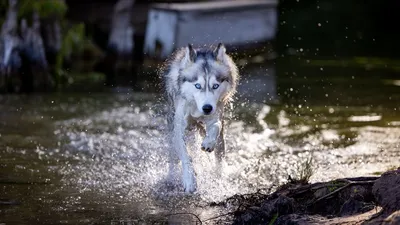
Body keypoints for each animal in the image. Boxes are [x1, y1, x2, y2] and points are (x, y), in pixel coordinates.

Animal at [161, 43, 239, 192]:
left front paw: (208, 142)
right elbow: (186, 156)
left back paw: (219, 175)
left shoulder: (216, 116)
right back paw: (171, 176)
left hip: (219, 140)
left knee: (219, 155)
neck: (197, 109)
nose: (207, 108)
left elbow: (216, 126)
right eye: (197, 85)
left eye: (215, 85)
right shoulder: (179, 129)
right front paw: (190, 180)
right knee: (173, 157)